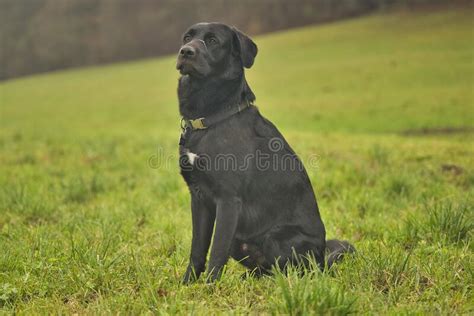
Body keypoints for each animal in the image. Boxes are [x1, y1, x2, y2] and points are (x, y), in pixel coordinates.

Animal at [176, 22, 354, 284]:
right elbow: (197, 248)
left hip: (275, 237)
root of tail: (322, 261)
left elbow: (216, 251)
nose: (185, 51)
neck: (212, 119)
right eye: (187, 37)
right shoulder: (198, 198)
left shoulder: (228, 200)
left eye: (213, 40)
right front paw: (187, 285)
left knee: (289, 271)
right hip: (240, 241)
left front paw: (208, 288)